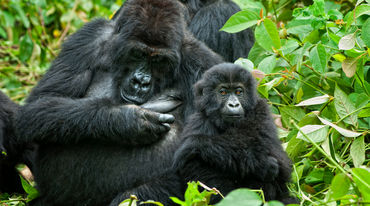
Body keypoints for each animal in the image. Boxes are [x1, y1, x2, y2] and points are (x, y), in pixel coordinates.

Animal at [14, 0, 221, 206]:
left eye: (159, 60)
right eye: (138, 54)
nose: (141, 81)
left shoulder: (203, 65)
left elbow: (202, 171)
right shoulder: (89, 37)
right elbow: (41, 103)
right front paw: (126, 120)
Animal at [110, 63, 294, 205]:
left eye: (239, 92)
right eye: (223, 92)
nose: (234, 104)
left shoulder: (261, 110)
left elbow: (276, 160)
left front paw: (199, 144)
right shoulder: (198, 121)